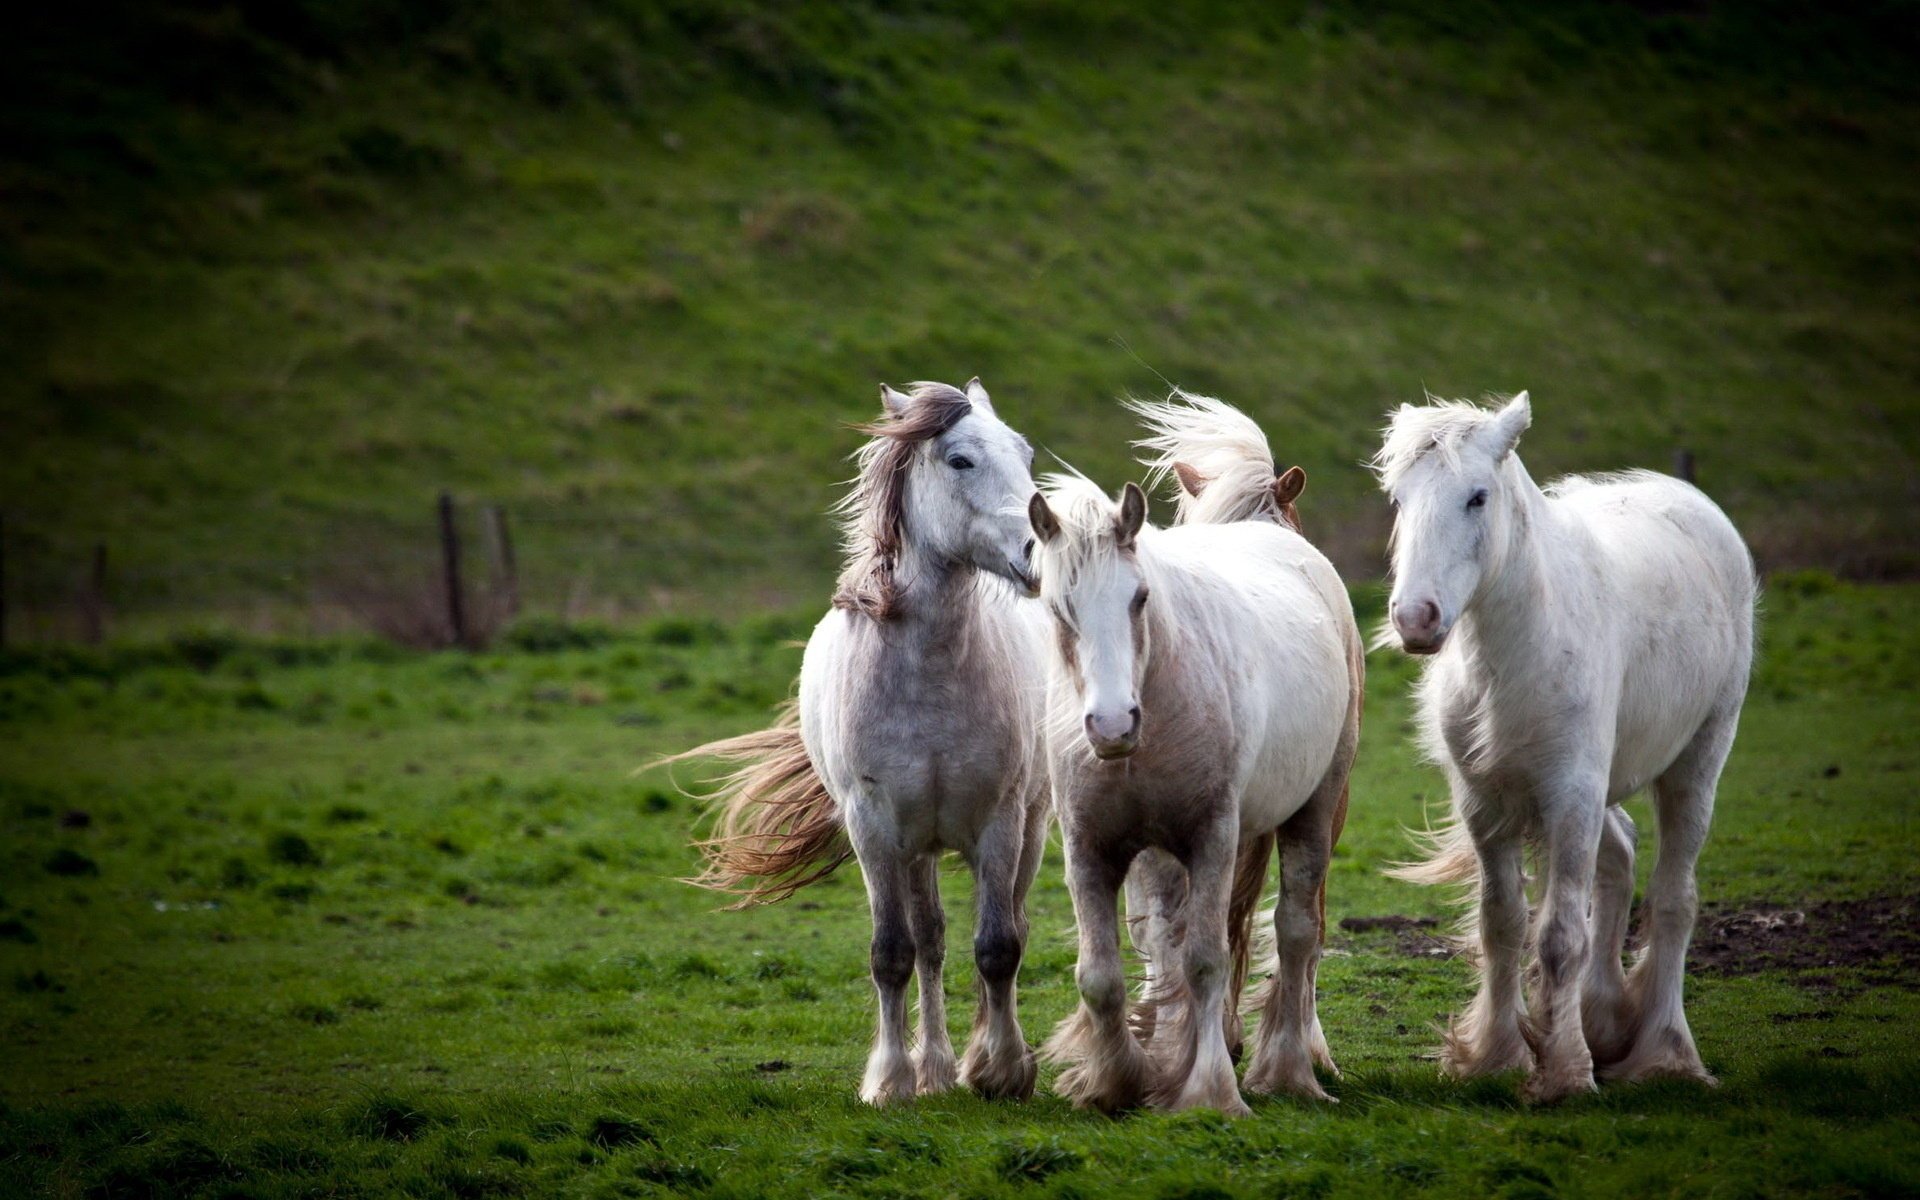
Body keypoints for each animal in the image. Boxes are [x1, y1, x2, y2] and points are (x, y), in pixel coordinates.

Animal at [672, 378, 1051, 1106]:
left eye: (1025, 453)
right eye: (960, 460)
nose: (1039, 553)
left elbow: (998, 947)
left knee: (1002, 927)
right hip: (916, 847)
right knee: (929, 940)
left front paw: (1001, 1069)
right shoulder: (872, 826)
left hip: (1031, 825)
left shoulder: (1001, 819)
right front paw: (892, 1079)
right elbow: (893, 953)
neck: (928, 677)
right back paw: (934, 1068)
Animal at [1029, 453, 1362, 1115]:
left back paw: (1287, 1070)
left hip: (1314, 811)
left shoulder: (1212, 838)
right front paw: (1118, 1081)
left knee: (1295, 931)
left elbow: (1207, 959)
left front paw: (1210, 1090)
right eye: (1057, 608)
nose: (1112, 725)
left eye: (1139, 597)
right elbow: (1102, 975)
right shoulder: (1090, 851)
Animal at [1374, 391, 1755, 1104]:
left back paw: (1664, 1051)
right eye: (1398, 499)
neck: (1519, 647)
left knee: (1673, 898)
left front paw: (1566, 1072)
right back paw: (1604, 1018)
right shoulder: (1486, 805)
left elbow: (1558, 937)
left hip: (1696, 762)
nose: (1415, 619)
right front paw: (1499, 1055)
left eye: (1477, 497)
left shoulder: (1572, 793)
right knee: (1621, 857)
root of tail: (1685, 497)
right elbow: (1502, 925)